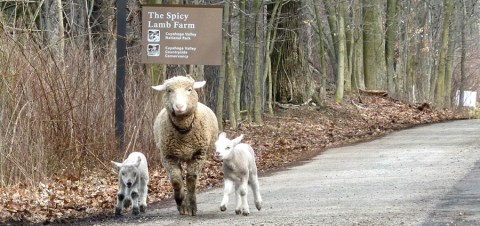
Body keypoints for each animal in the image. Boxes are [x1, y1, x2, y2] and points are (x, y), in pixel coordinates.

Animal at [153, 75, 218, 216]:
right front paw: (180, 203)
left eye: (189, 89)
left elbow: (191, 179)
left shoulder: (198, 154)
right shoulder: (168, 156)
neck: (184, 133)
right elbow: (176, 181)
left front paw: (191, 207)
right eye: (169, 90)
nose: (179, 106)